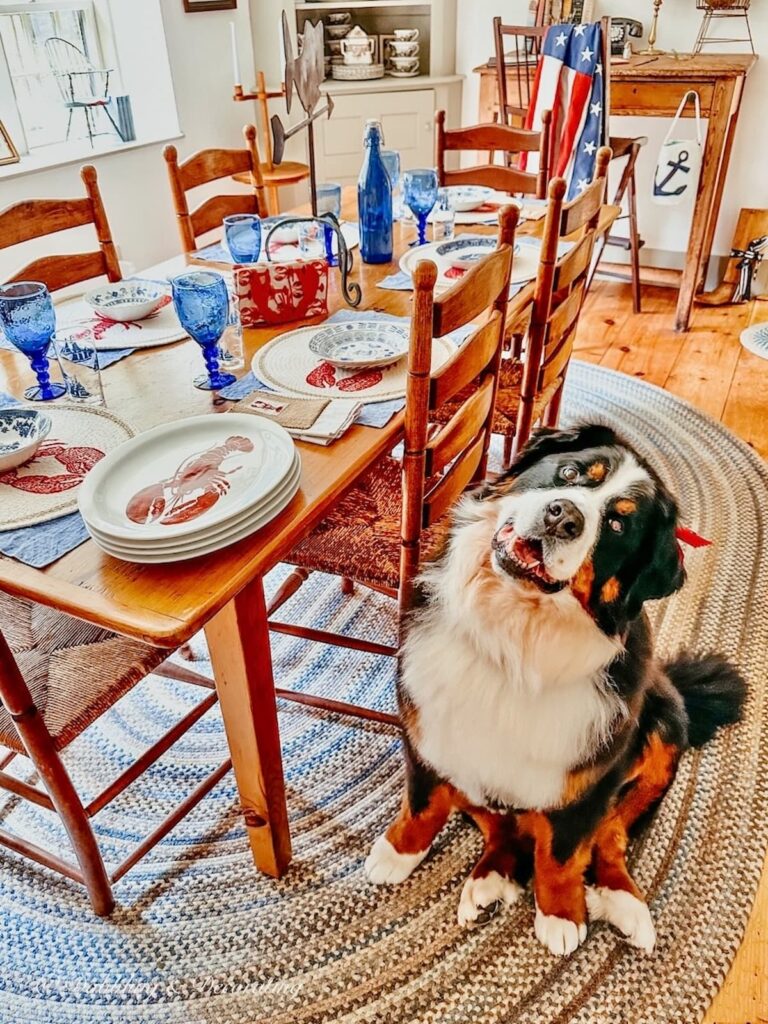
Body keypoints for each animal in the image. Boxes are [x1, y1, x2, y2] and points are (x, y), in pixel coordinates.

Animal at [364, 419, 745, 954]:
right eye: (570, 473)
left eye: (617, 527)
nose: (563, 516)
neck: (514, 639)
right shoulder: (427, 729)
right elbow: (422, 804)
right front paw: (396, 854)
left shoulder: (588, 778)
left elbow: (564, 853)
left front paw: (562, 913)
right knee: (500, 823)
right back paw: (489, 878)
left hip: (664, 725)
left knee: (612, 835)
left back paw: (623, 900)